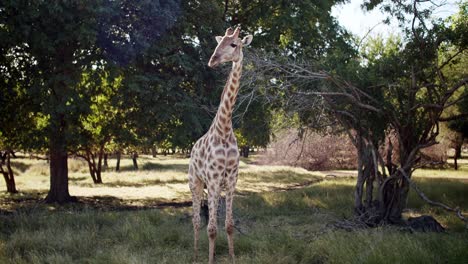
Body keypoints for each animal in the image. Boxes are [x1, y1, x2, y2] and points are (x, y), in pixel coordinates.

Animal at [188, 27, 252, 264]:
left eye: (234, 44)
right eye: (219, 42)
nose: (212, 60)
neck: (224, 130)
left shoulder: (232, 181)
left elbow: (229, 225)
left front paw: (232, 257)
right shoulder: (214, 180)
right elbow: (212, 229)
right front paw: (209, 260)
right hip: (195, 183)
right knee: (197, 220)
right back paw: (196, 253)